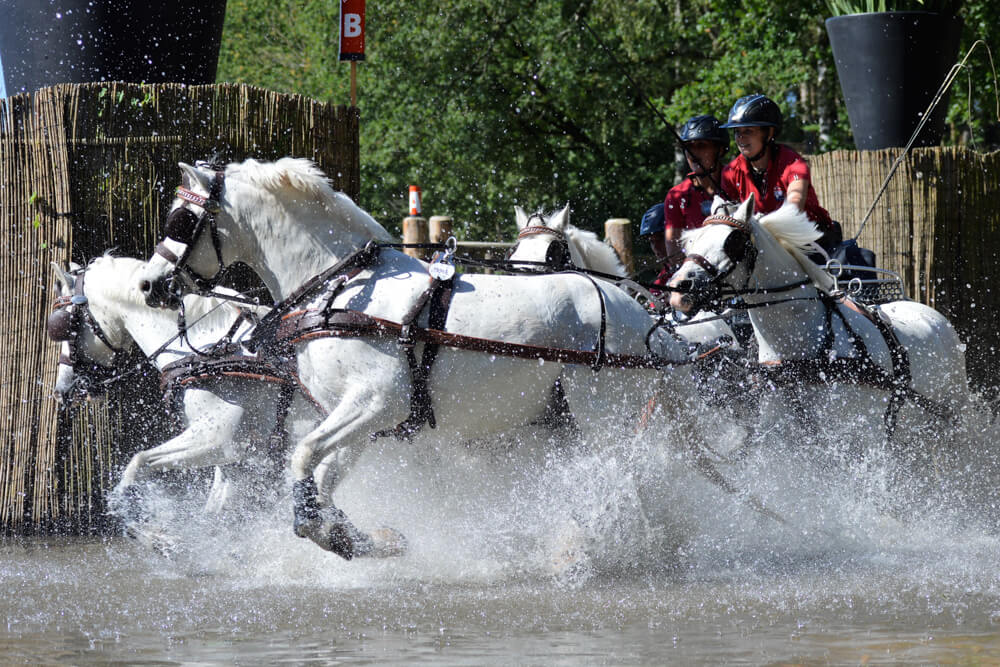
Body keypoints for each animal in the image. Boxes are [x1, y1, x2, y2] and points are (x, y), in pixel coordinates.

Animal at [48, 256, 312, 540]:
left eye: (64, 327)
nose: (60, 391)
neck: (211, 351)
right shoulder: (238, 463)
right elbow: (215, 516)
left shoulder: (222, 440)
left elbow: (138, 463)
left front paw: (145, 529)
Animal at [135, 158, 723, 560]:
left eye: (182, 220)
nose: (148, 284)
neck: (346, 290)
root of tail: (645, 322)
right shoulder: (359, 419)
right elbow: (324, 472)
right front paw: (355, 536)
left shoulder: (377, 402)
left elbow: (302, 460)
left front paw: (324, 529)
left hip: (604, 418)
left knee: (623, 481)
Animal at [666, 195, 970, 461]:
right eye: (691, 241)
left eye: (732, 241)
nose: (678, 290)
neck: (802, 353)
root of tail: (932, 315)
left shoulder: (867, 440)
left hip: (949, 423)